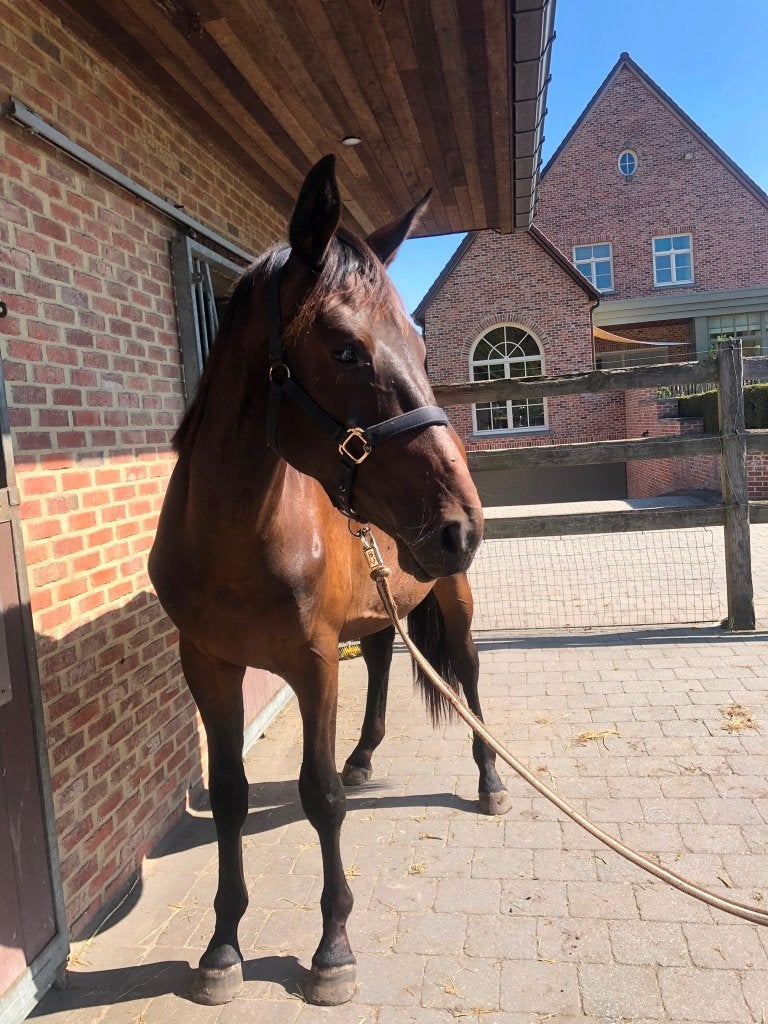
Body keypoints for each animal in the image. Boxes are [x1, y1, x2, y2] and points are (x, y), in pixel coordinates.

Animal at [149, 155, 510, 1008]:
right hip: (380, 605)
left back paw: (487, 779)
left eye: (420, 346)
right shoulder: (207, 665)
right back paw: (367, 755)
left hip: (453, 599)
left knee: (468, 674)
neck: (237, 536)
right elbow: (231, 796)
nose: (459, 525)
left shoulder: (312, 664)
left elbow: (320, 798)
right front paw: (222, 947)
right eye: (345, 350)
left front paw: (332, 949)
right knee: (378, 661)